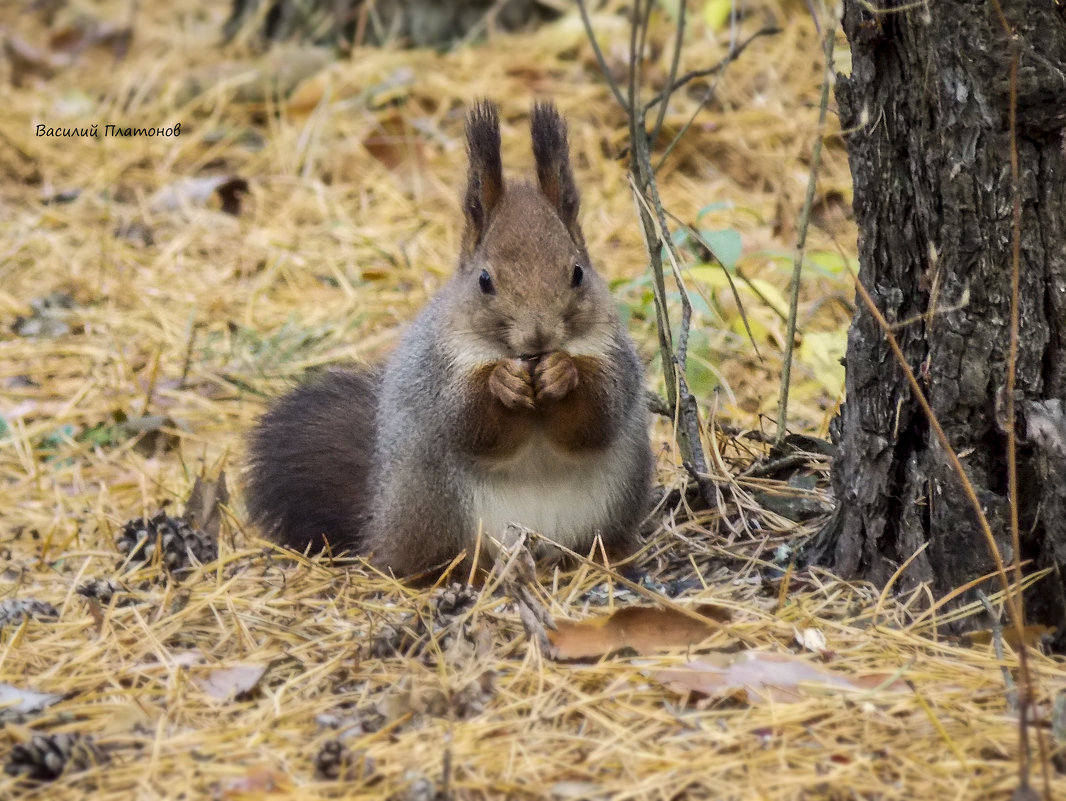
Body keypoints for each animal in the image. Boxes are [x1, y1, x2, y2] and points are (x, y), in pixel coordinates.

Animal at [245, 100, 652, 575]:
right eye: (484, 280)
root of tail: (379, 517)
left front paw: (562, 372)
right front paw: (503, 383)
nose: (539, 336)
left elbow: (597, 417)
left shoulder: (614, 356)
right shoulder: (438, 369)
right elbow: (470, 424)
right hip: (435, 506)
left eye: (577, 273)